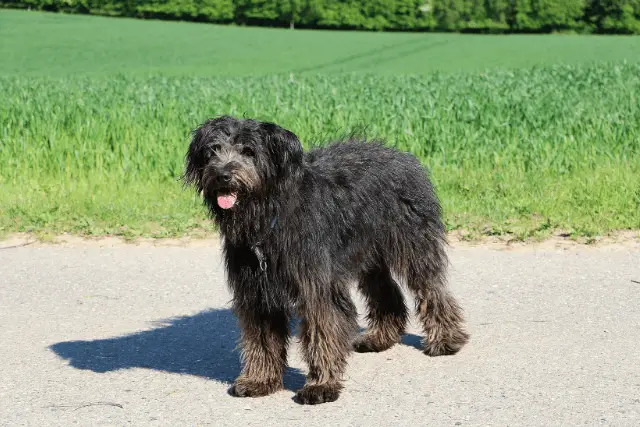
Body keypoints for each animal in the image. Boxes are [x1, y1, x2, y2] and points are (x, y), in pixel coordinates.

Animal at [182, 116, 468, 404]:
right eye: (213, 151)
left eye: (249, 151)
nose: (223, 175)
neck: (269, 218)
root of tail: (401, 155)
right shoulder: (256, 291)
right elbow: (261, 338)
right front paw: (259, 380)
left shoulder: (316, 284)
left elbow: (323, 330)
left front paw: (320, 386)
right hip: (367, 257)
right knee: (386, 294)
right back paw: (379, 338)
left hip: (412, 244)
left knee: (431, 288)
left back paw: (445, 340)